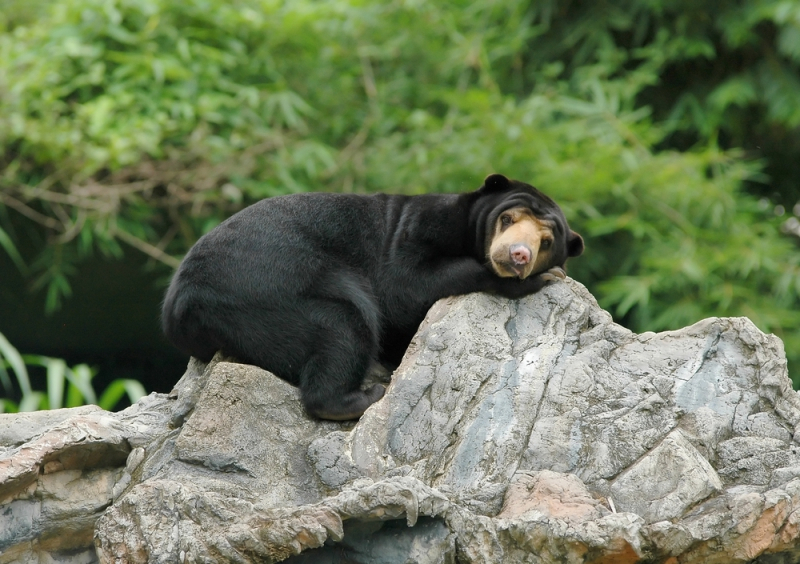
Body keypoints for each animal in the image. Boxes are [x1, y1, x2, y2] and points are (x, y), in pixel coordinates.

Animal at [161, 174, 580, 420]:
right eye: (508, 219)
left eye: (546, 241)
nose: (518, 256)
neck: (467, 230)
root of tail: (179, 305)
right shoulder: (420, 226)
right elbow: (404, 286)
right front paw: (541, 279)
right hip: (266, 290)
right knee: (345, 324)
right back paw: (363, 396)